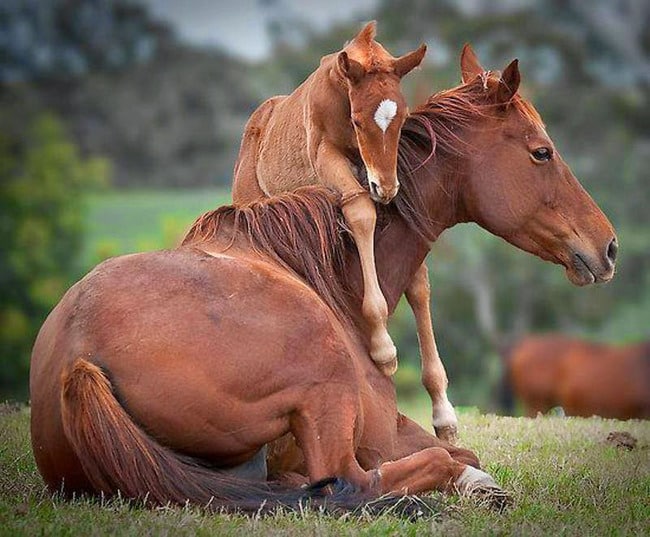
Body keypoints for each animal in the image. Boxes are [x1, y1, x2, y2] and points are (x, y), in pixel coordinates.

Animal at [232, 19, 426, 372]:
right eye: (357, 121)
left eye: (403, 118)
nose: (386, 188)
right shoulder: (326, 156)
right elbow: (361, 210)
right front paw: (383, 348)